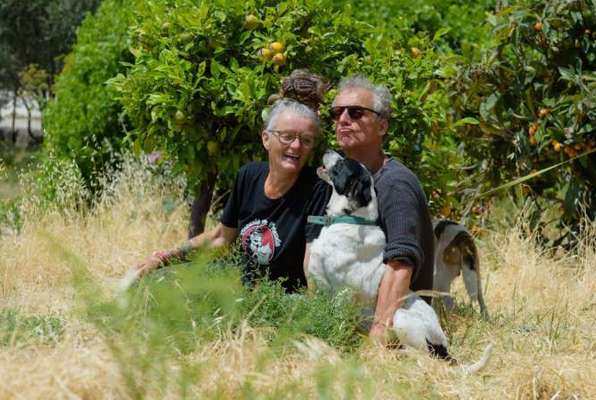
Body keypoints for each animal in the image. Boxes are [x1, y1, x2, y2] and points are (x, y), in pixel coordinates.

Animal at [308, 151, 488, 372]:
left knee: (421, 356)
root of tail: (443, 347)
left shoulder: (343, 295)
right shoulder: (316, 283)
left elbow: (338, 323)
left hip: (400, 316)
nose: (328, 150)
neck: (350, 220)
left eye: (342, 163)